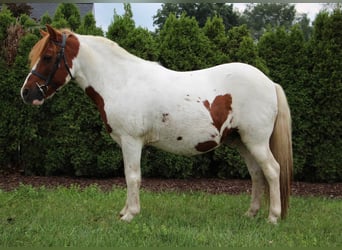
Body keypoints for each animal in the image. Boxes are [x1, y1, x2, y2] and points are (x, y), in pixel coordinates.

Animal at [20, 25, 292, 224]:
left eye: (47, 57)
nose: (26, 93)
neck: (121, 81)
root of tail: (269, 82)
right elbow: (129, 177)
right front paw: (124, 211)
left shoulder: (131, 141)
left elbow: (132, 176)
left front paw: (129, 215)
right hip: (242, 142)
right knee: (256, 174)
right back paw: (251, 214)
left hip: (256, 141)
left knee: (272, 170)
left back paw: (273, 218)